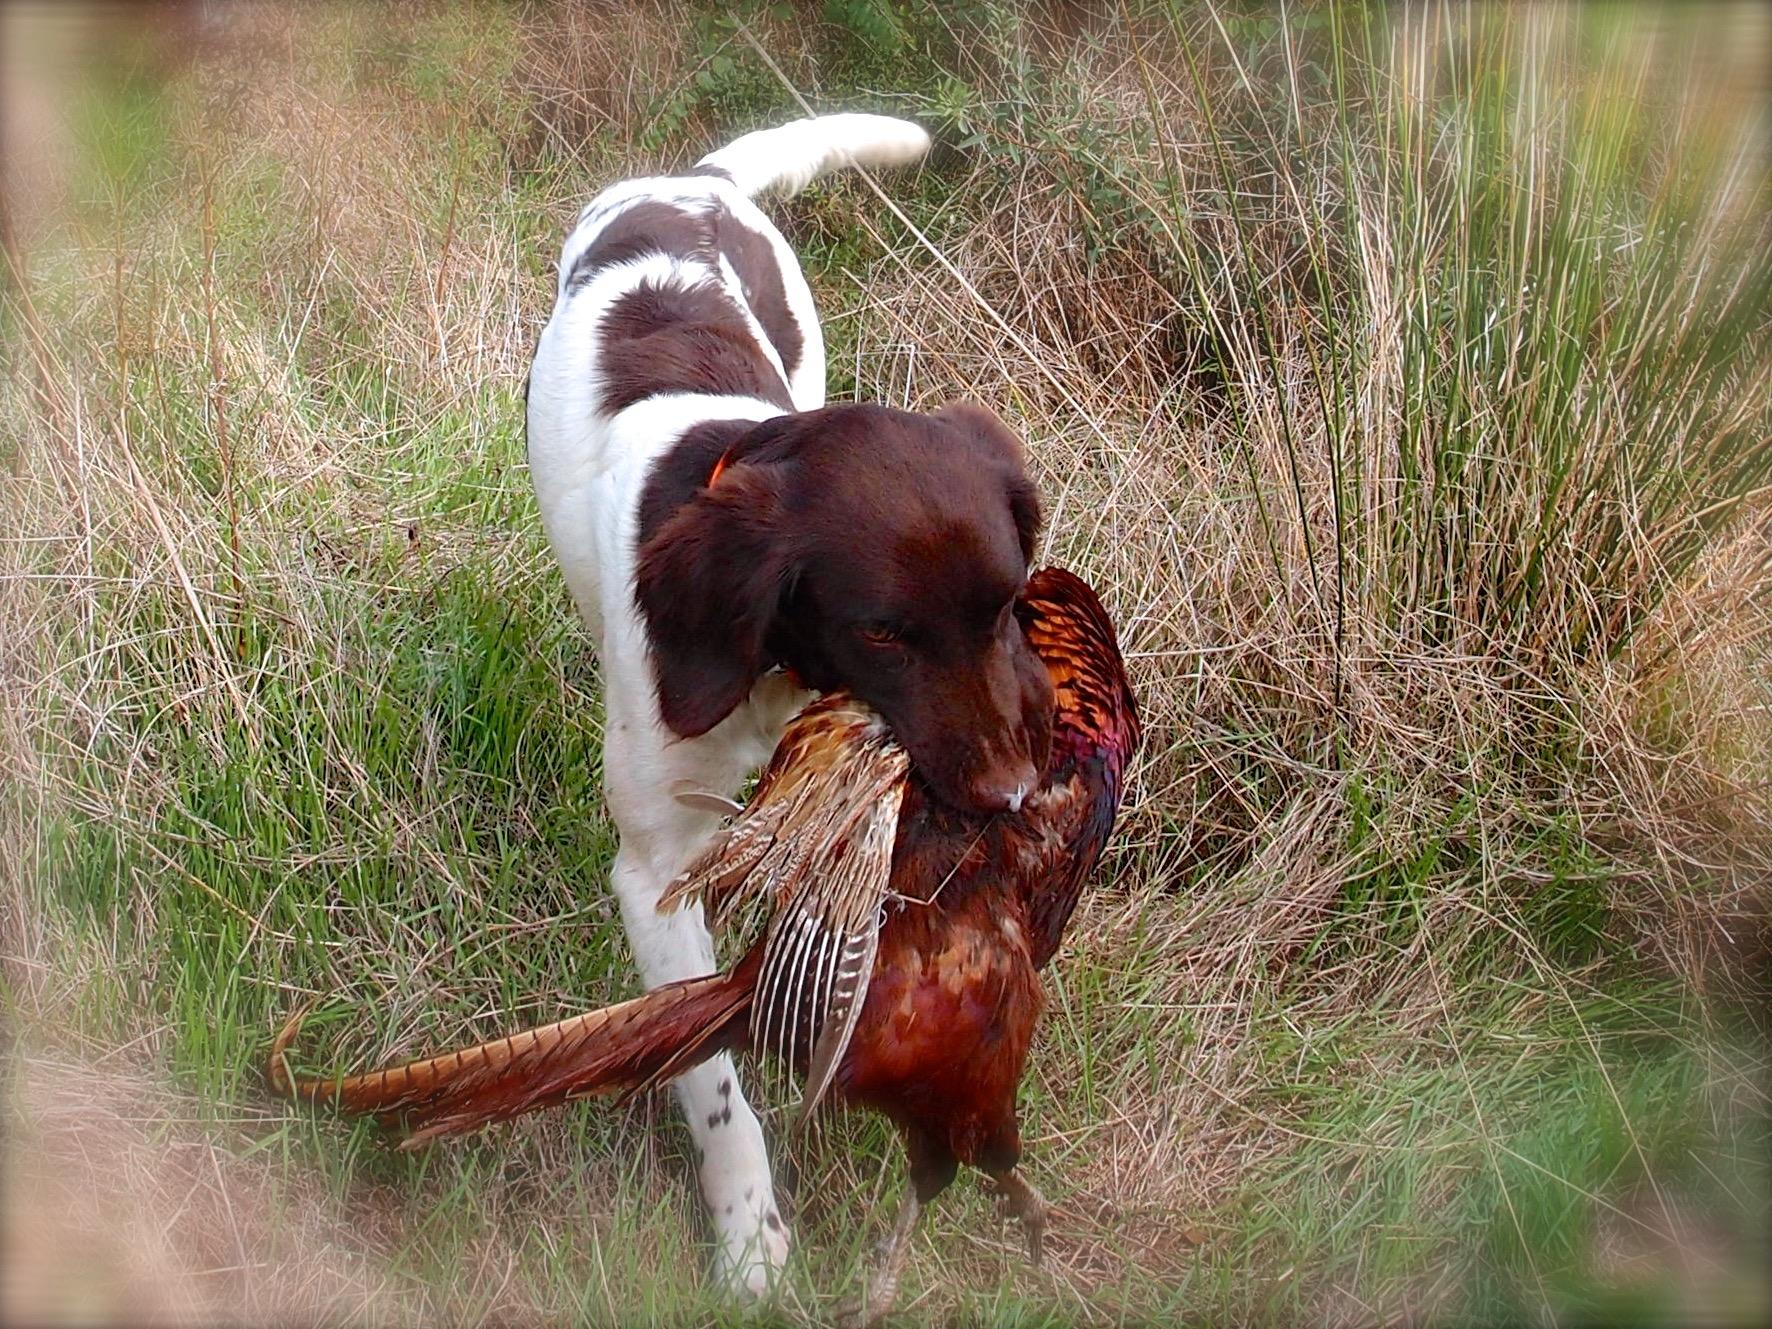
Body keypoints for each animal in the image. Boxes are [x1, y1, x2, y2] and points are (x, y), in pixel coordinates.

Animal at [520, 119, 1049, 1297]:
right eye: (884, 634)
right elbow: (711, 1079)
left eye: (1005, 606)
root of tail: (696, 180)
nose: (1012, 797)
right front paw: (748, 1235)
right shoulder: (653, 873)